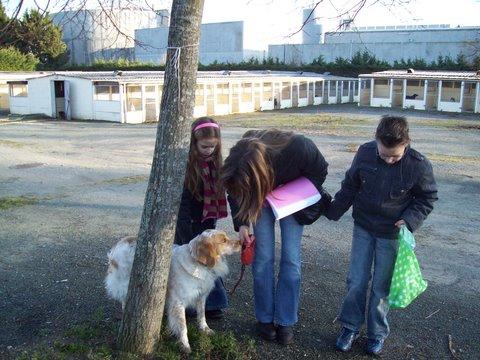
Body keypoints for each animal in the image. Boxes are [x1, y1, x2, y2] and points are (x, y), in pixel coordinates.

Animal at [104, 231, 240, 352]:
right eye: (223, 240)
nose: (240, 242)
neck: (198, 263)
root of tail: (120, 243)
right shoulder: (178, 302)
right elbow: (183, 326)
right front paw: (185, 345)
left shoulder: (201, 297)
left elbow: (202, 315)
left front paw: (205, 329)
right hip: (125, 282)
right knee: (124, 299)